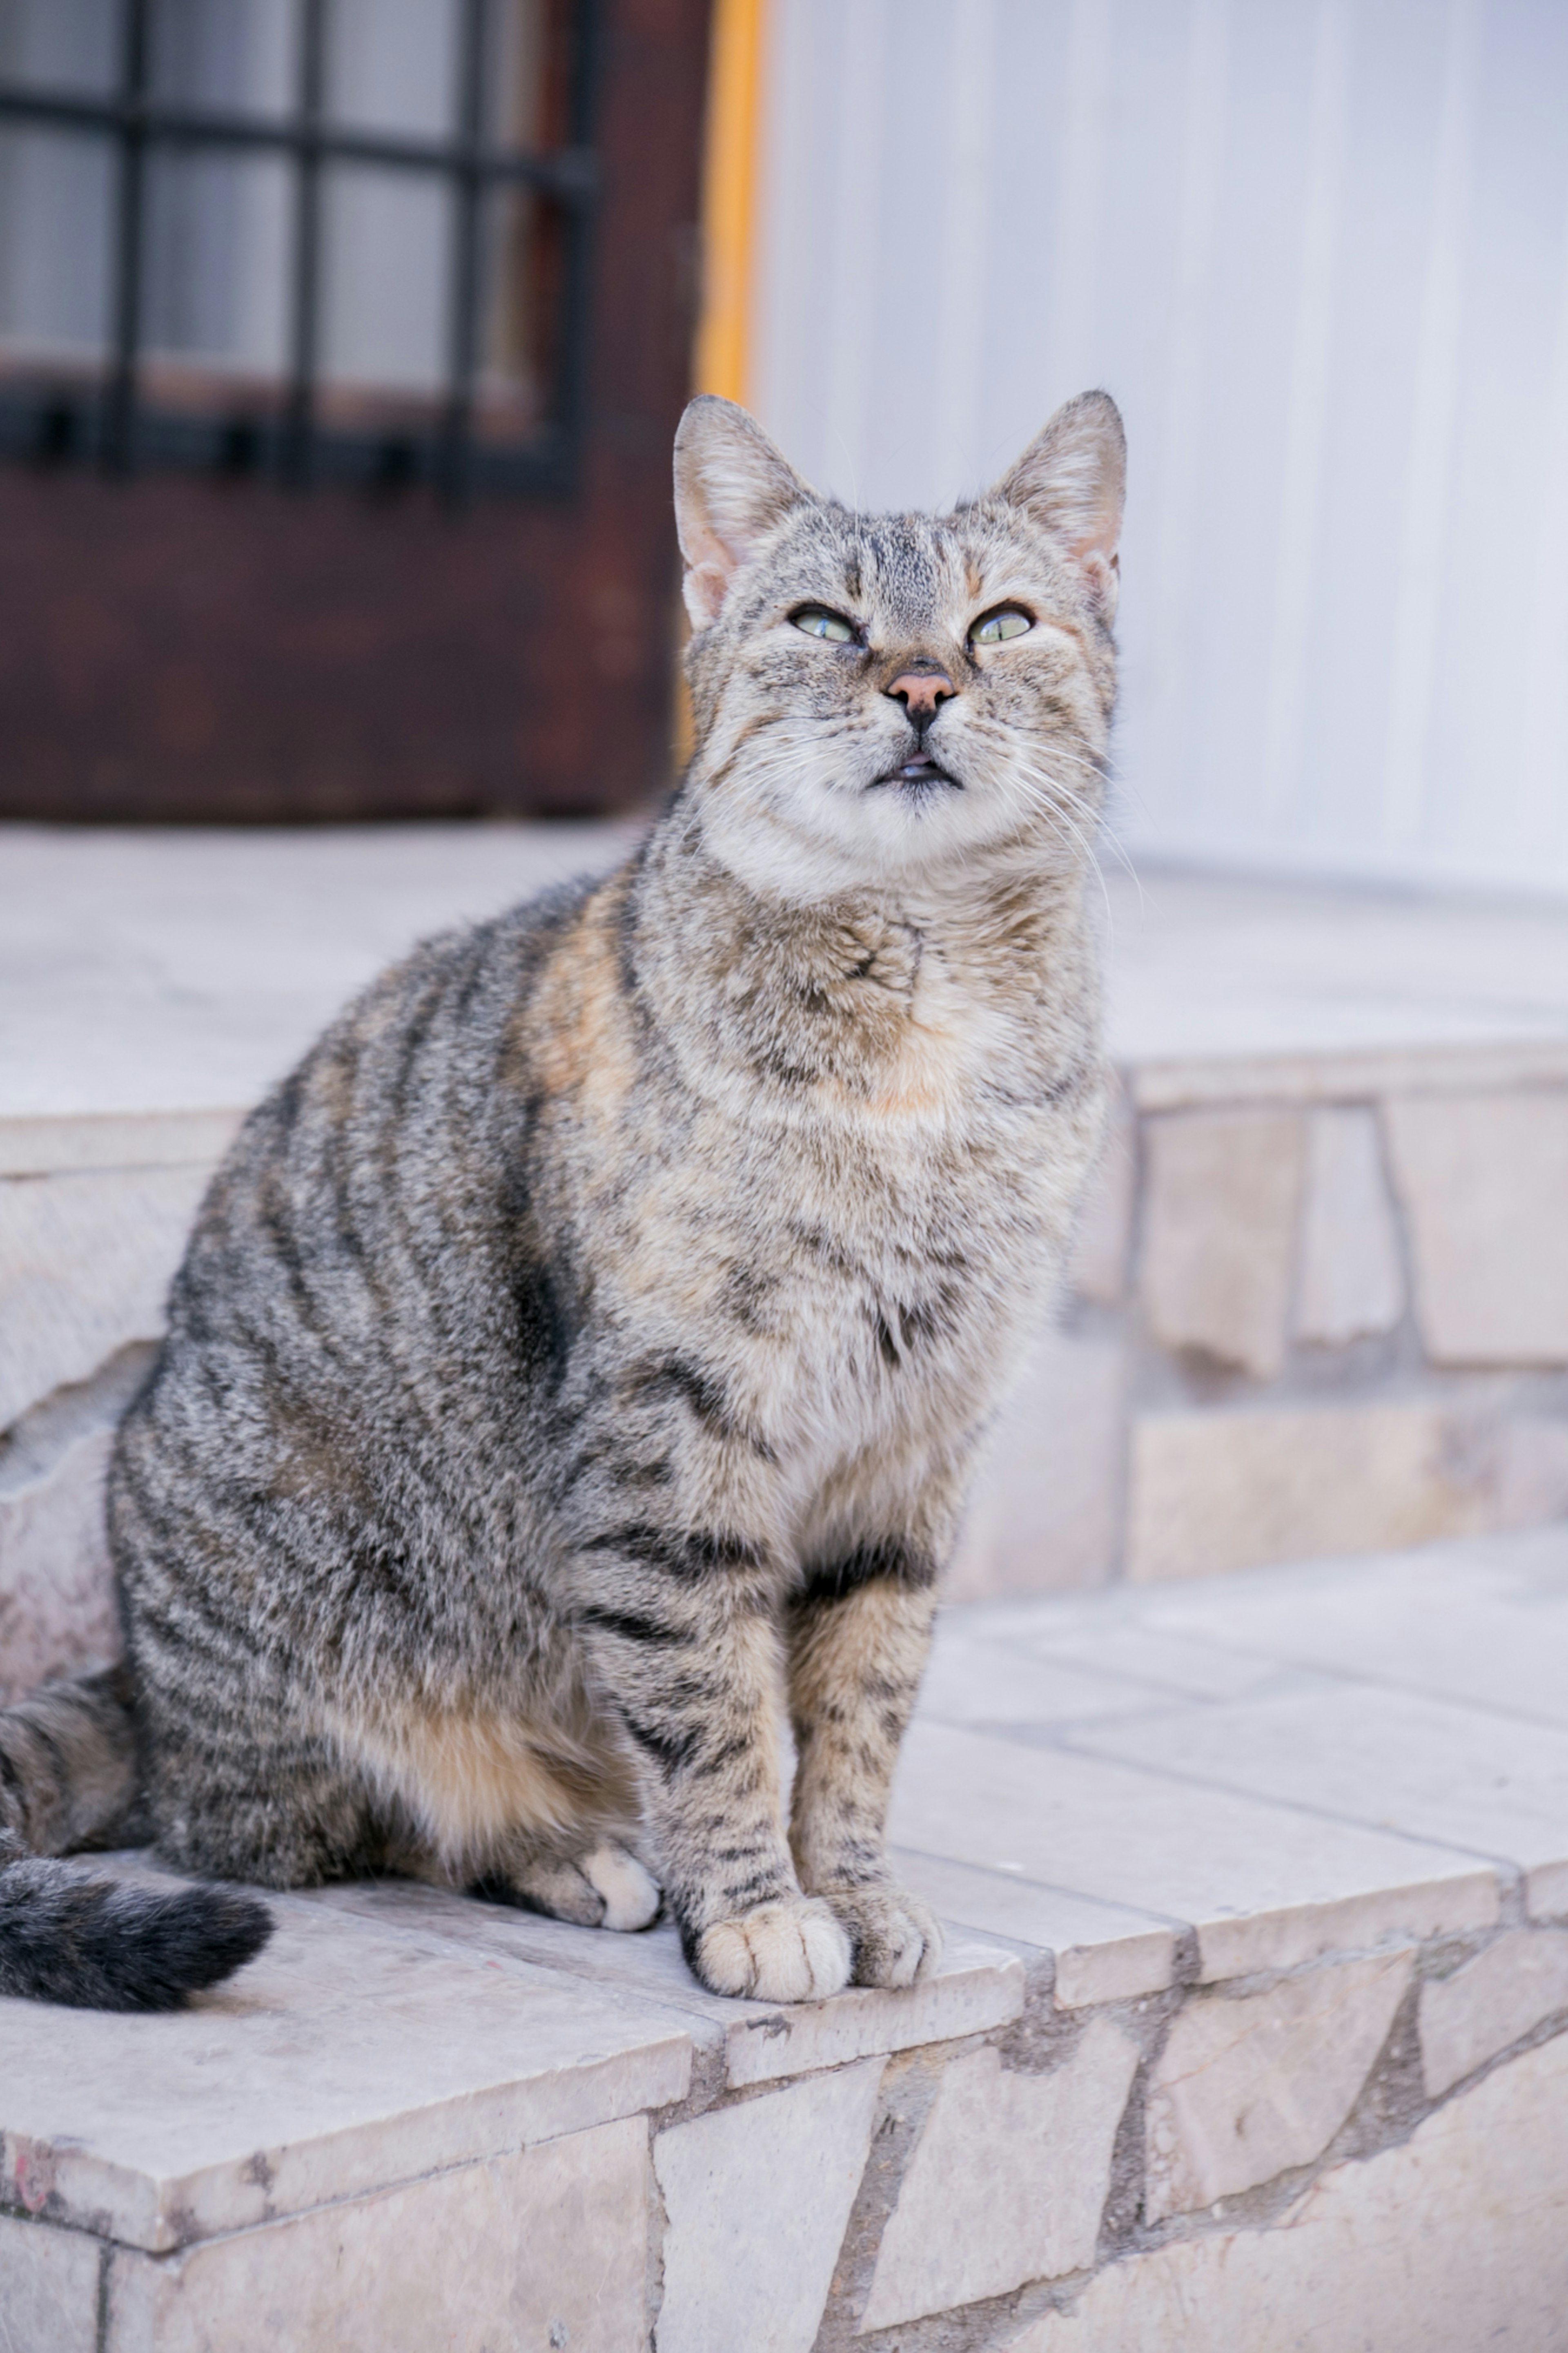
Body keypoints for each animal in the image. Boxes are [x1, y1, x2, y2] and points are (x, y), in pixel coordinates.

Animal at [0, 381, 1128, 2005]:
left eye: (1000, 623)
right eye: (827, 622)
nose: (921, 686)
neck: (925, 1010)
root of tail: (141, 1682)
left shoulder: (912, 1453)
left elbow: (859, 1713)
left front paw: (853, 1888)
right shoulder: (673, 1435)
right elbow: (715, 1706)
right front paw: (757, 1907)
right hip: (313, 1641)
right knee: (324, 1833)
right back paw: (568, 1853)